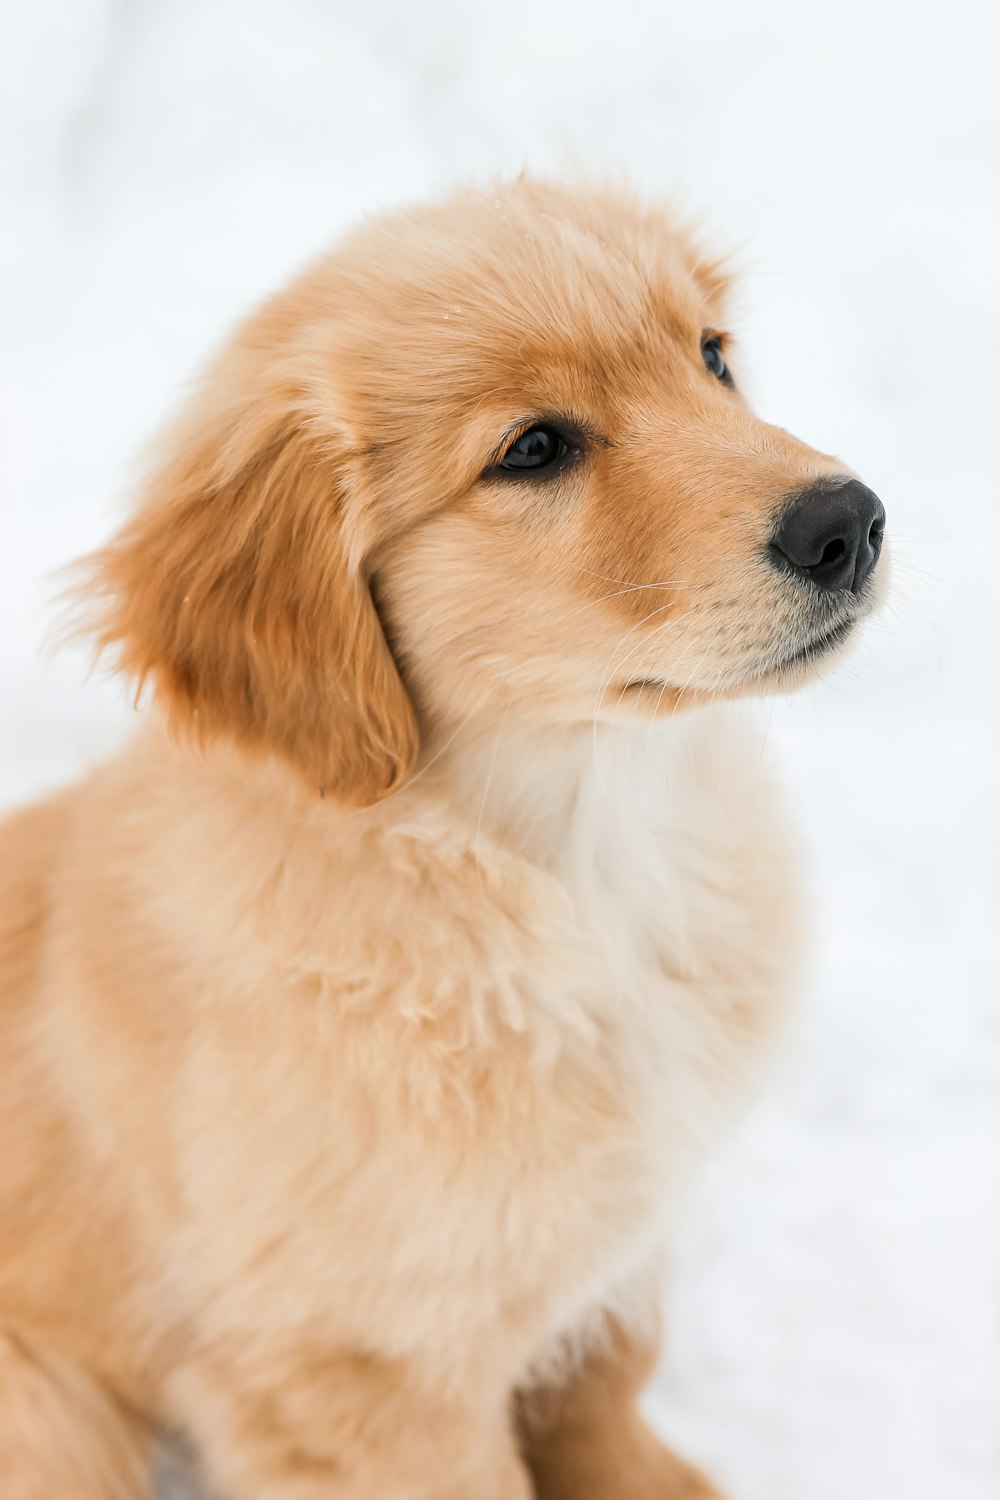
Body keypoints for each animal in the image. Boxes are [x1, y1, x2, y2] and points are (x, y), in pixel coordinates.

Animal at [0, 178, 887, 1500]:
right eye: (533, 450)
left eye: (712, 358)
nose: (852, 523)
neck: (573, 857)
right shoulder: (355, 1368)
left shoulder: (610, 1236)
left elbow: (604, 1376)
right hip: (51, 1415)